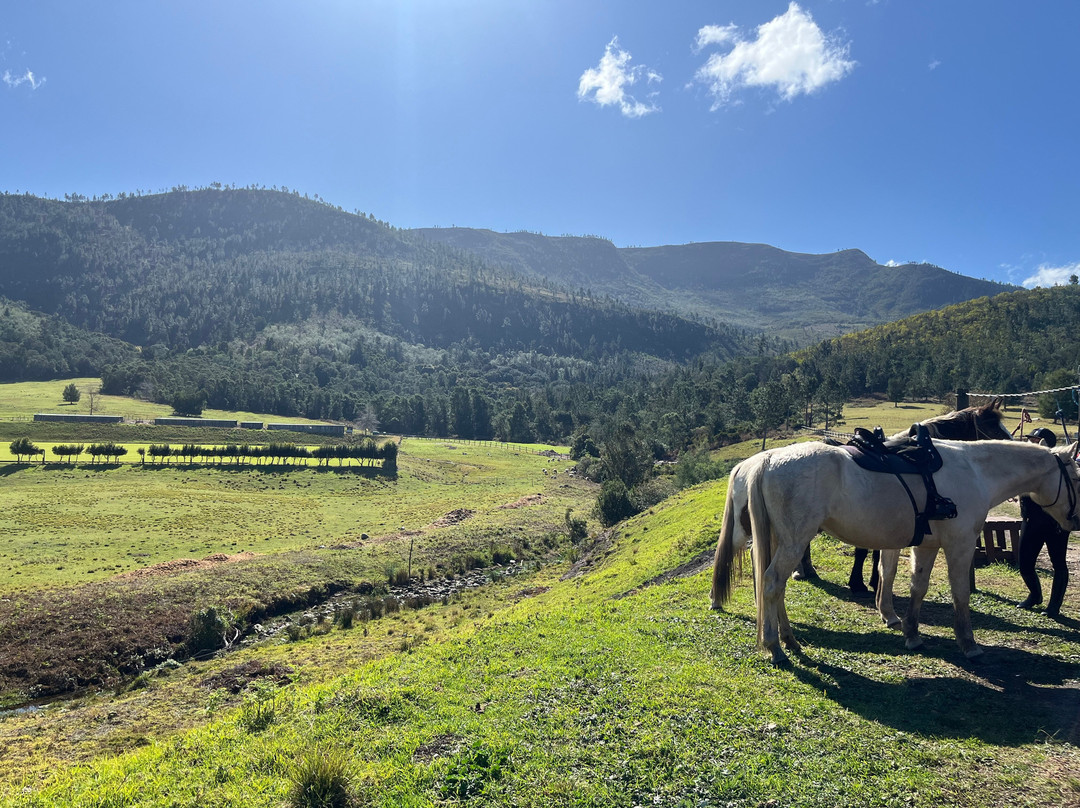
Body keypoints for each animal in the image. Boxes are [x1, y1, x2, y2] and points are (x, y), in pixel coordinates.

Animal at [710, 438, 1080, 665]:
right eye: (1076, 477)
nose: (1074, 521)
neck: (974, 470)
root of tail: (767, 459)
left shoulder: (927, 546)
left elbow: (918, 588)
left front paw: (912, 634)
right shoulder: (959, 545)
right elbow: (960, 593)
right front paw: (968, 643)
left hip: (776, 541)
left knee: (774, 587)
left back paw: (788, 638)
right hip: (792, 542)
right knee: (772, 583)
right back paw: (775, 647)